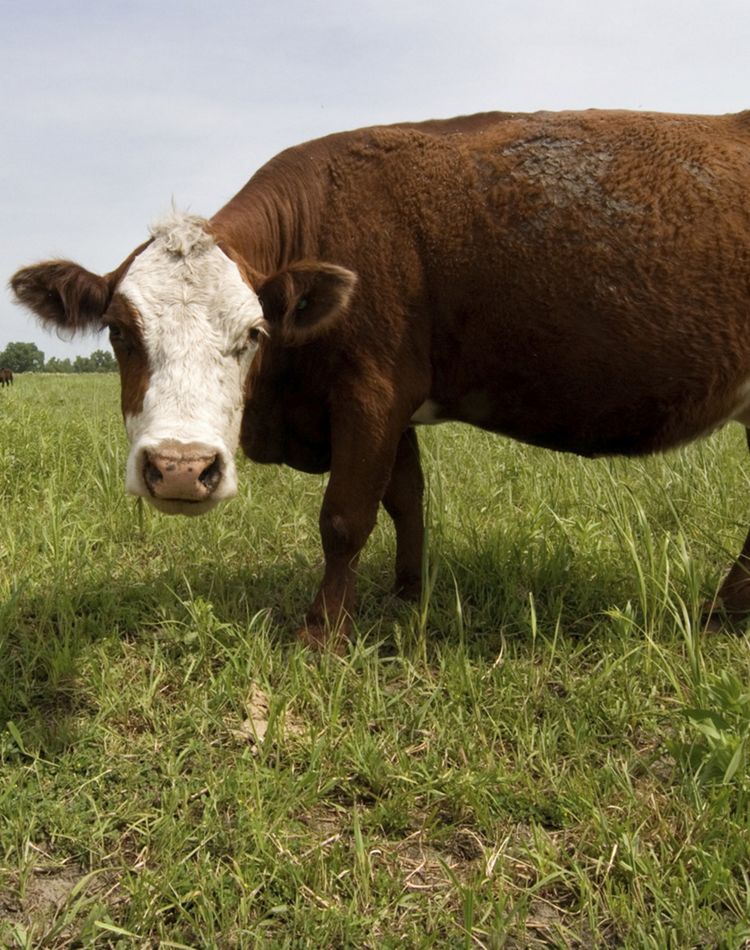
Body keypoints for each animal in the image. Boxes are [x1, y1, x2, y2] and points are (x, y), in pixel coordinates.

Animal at [10, 108, 750, 647]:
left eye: (253, 334)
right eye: (119, 331)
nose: (181, 468)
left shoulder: (372, 391)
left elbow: (345, 516)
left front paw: (323, 635)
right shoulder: (395, 405)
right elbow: (407, 500)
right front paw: (408, 596)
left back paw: (721, 614)